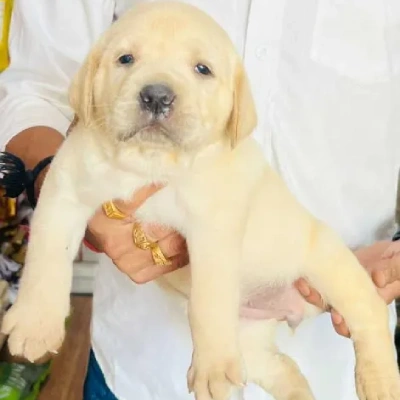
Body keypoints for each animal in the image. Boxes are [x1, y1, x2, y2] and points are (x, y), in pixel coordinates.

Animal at [1, 3, 398, 400]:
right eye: (125, 59)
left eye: (202, 69)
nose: (156, 96)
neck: (150, 162)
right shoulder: (63, 193)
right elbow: (46, 261)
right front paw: (34, 326)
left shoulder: (213, 230)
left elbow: (208, 300)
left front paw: (213, 371)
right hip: (250, 344)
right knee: (285, 369)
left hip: (327, 261)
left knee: (370, 316)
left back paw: (378, 381)